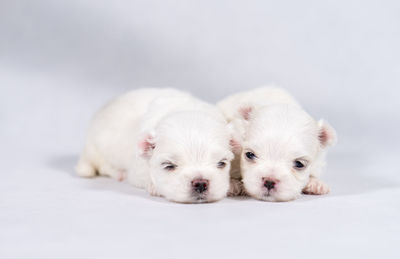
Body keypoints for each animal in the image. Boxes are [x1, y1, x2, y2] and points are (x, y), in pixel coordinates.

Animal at [77, 88, 234, 204]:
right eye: (169, 166)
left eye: (222, 163)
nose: (200, 183)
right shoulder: (137, 171)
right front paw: (154, 187)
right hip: (97, 148)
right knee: (103, 166)